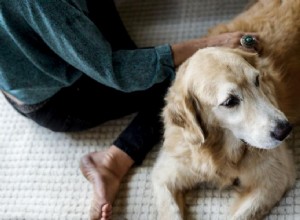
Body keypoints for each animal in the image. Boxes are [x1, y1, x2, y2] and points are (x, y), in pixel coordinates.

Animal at [152, 0, 300, 220]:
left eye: (257, 80)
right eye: (230, 101)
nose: (285, 130)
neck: (220, 148)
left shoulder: (275, 177)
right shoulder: (167, 171)